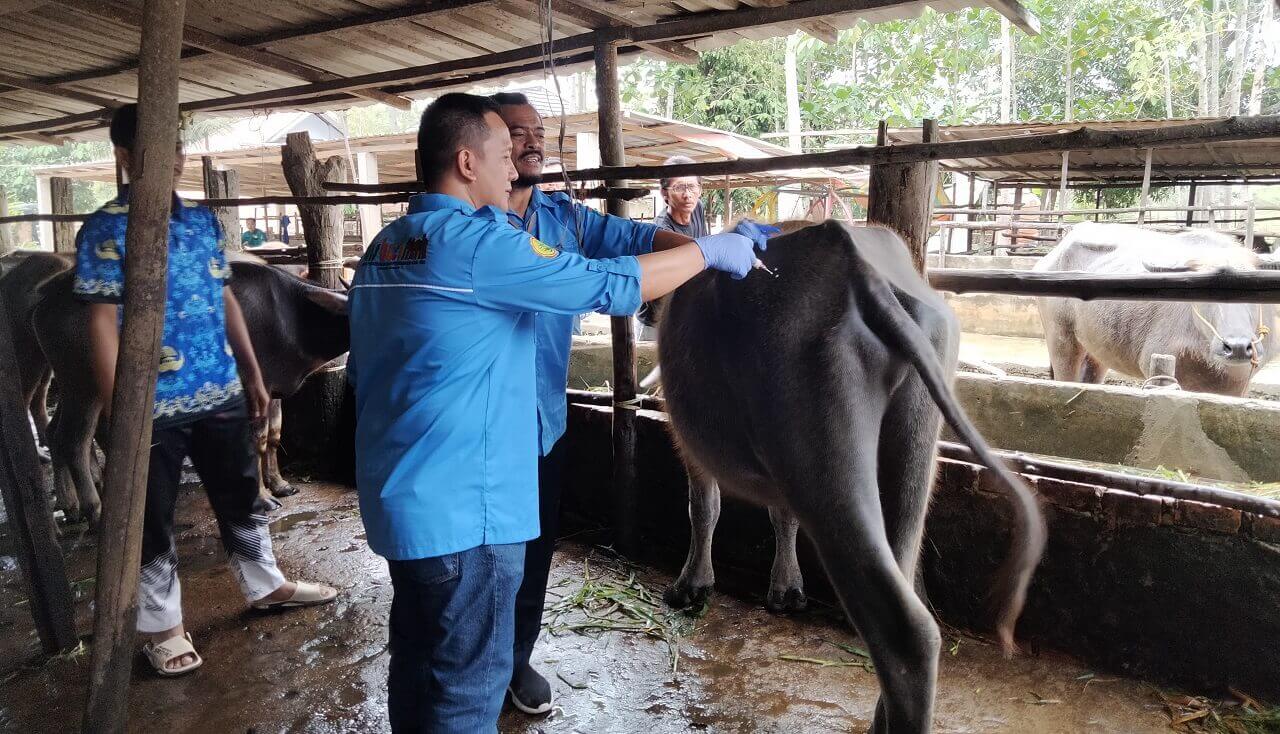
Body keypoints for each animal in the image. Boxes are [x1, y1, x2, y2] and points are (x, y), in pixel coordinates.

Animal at [655, 220, 1044, 727]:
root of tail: (861, 268)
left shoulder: (689, 441)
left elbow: (704, 506)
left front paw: (691, 586)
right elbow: (780, 516)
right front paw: (786, 588)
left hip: (821, 448)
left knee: (905, 628)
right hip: (915, 429)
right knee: (904, 569)